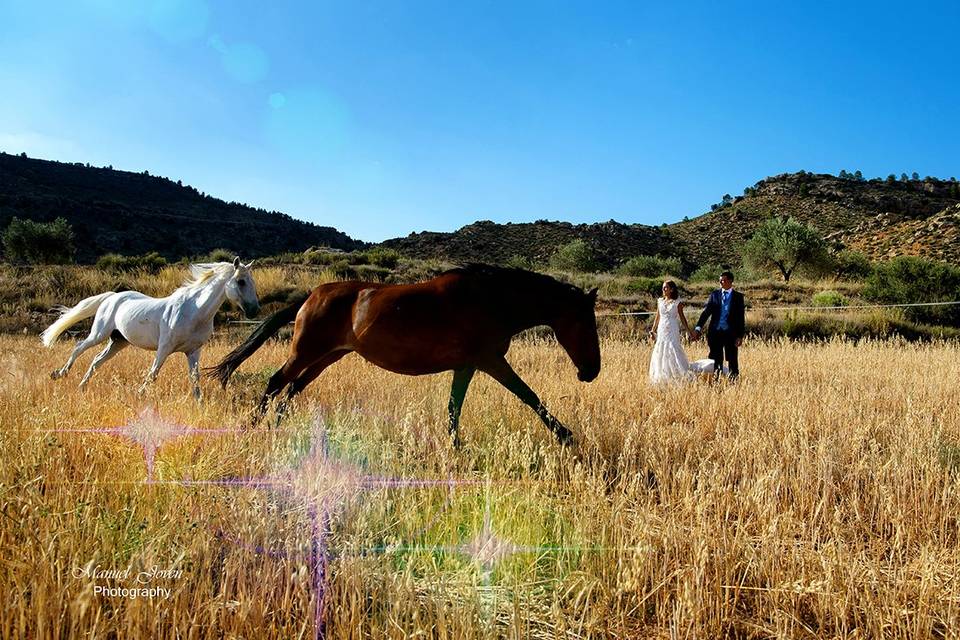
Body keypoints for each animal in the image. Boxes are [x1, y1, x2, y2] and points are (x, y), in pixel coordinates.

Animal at [41, 258, 260, 398]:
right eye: (241, 281)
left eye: (252, 282)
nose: (255, 310)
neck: (195, 311)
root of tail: (112, 296)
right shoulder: (165, 348)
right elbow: (153, 373)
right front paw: (139, 395)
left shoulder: (193, 351)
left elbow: (195, 380)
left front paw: (199, 403)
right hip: (99, 334)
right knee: (79, 347)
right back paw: (60, 374)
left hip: (118, 342)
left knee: (96, 360)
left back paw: (82, 387)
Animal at [208, 264, 600, 444]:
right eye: (584, 321)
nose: (591, 371)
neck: (492, 300)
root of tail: (310, 296)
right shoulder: (491, 361)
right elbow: (529, 395)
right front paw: (565, 435)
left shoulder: (468, 366)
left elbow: (454, 408)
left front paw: (455, 446)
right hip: (306, 352)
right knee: (277, 382)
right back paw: (255, 427)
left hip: (326, 357)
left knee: (292, 389)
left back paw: (278, 427)